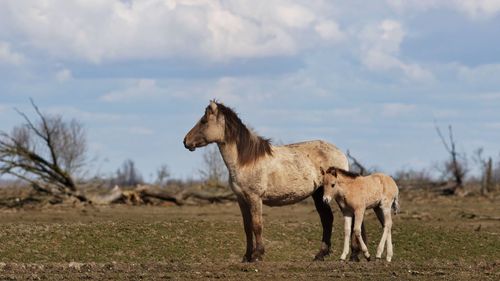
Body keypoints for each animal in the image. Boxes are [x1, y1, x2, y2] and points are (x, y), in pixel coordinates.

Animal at [184, 100, 368, 260]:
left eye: (203, 121)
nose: (186, 141)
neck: (246, 160)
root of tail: (340, 152)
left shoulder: (255, 198)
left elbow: (257, 225)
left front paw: (257, 255)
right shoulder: (241, 199)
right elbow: (247, 227)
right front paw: (246, 256)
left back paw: (354, 255)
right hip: (319, 194)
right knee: (327, 219)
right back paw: (321, 255)